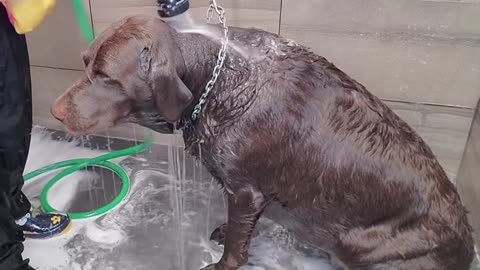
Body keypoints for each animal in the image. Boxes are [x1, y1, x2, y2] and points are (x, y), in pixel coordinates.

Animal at [51, 15, 472, 270]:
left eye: (106, 76)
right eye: (85, 63)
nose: (54, 111)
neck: (214, 81)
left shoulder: (245, 191)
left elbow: (238, 244)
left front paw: (223, 261)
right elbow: (240, 228)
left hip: (362, 244)